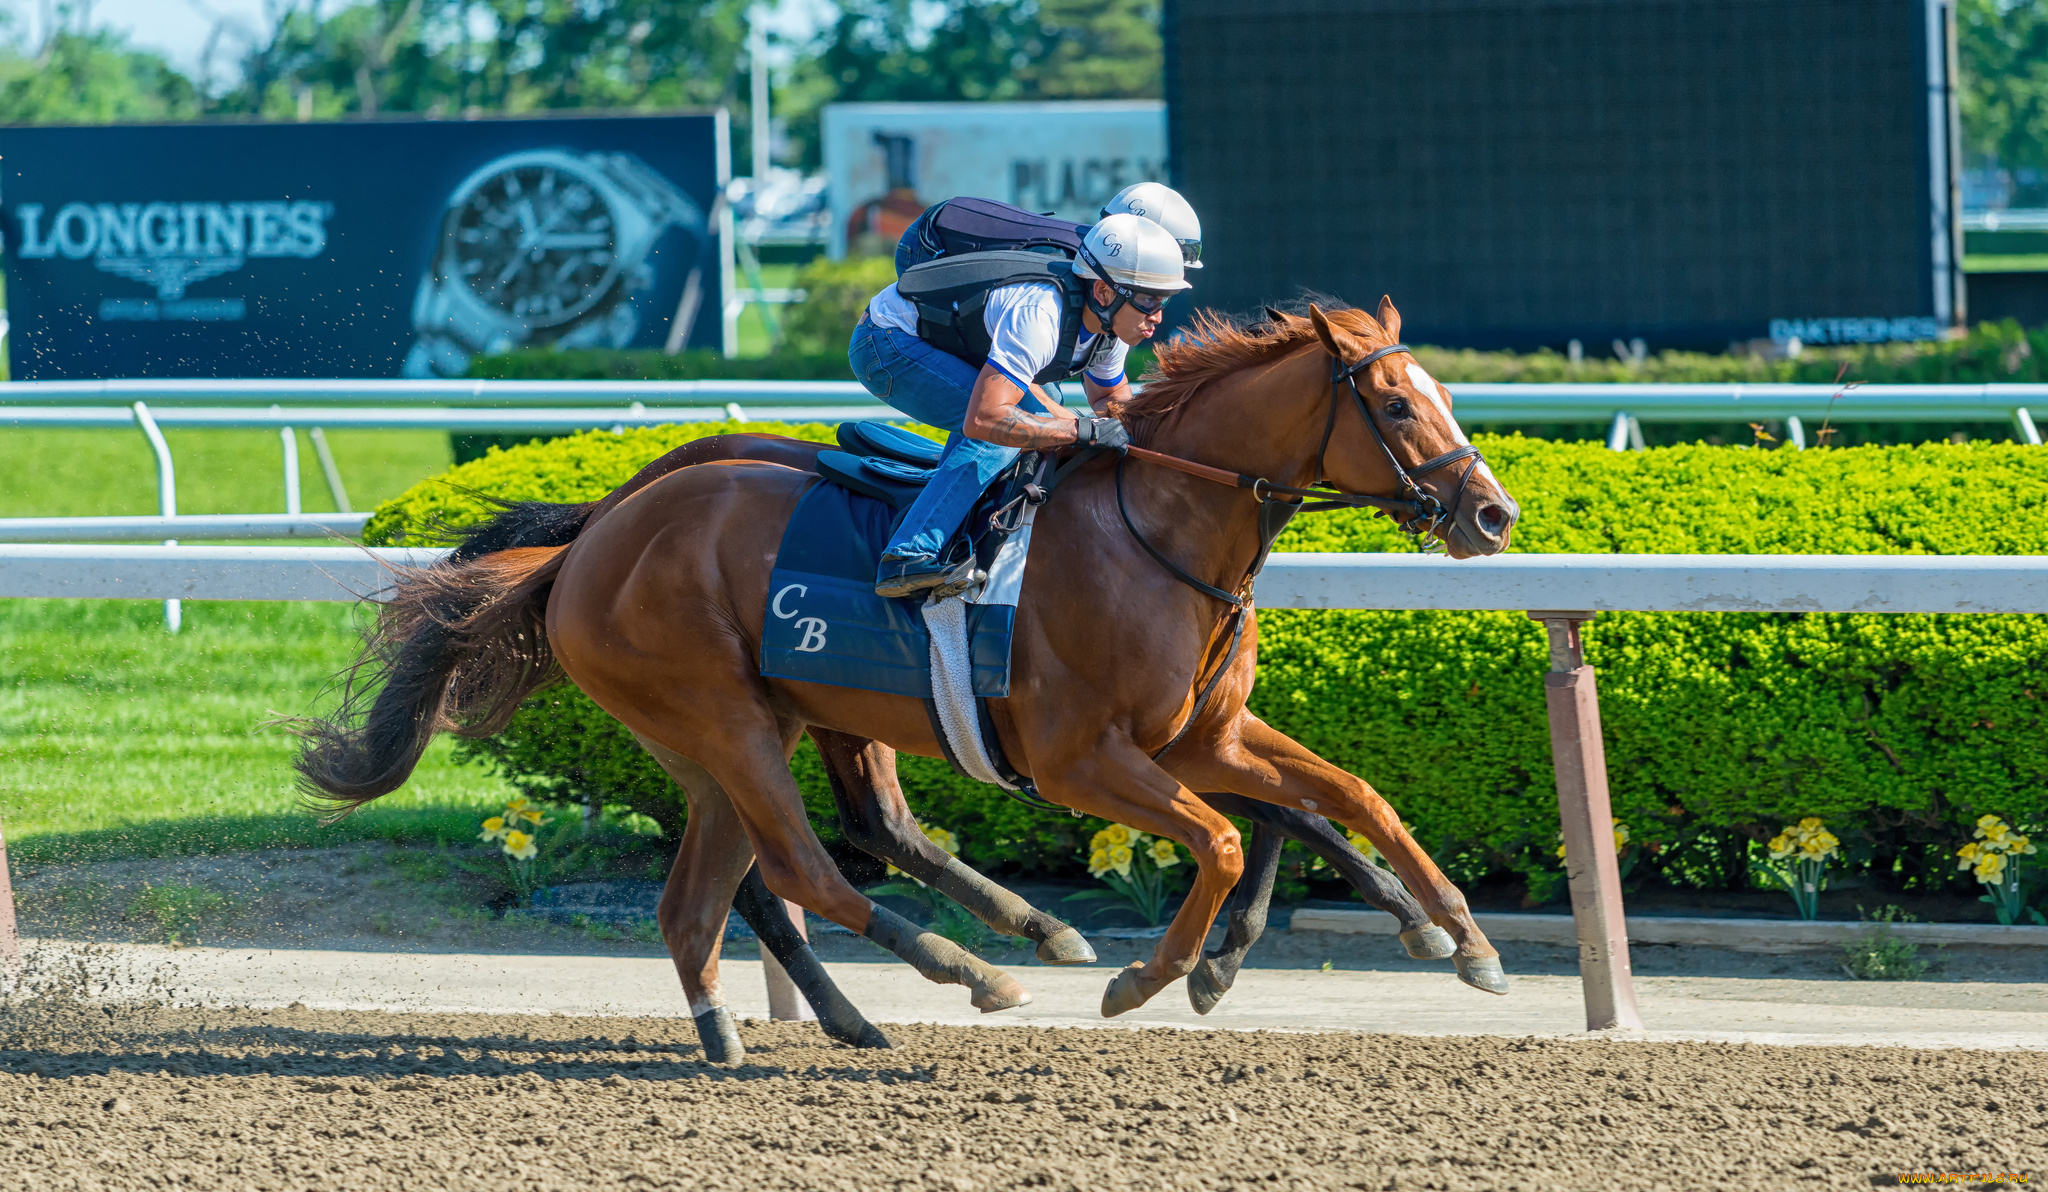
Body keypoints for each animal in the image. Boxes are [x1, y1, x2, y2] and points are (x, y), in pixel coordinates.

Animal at [299, 299, 1523, 1056]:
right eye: (1398, 404)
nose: (1492, 515)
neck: (1158, 528)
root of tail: (593, 537)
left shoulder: (1201, 736)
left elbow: (1348, 796)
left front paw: (1464, 941)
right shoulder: (1083, 758)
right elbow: (1226, 837)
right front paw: (1155, 977)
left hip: (742, 731)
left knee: (723, 888)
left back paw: (771, 1022)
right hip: (724, 716)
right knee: (800, 866)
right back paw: (973, 969)